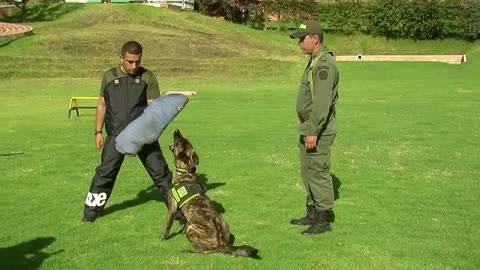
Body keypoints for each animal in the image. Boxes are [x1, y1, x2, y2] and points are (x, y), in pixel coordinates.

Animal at [162, 130, 258, 258]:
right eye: (182, 139)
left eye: (179, 141)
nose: (177, 130)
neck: (185, 172)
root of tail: (222, 245)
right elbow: (184, 223)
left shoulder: (172, 207)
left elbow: (167, 225)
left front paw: (163, 238)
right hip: (224, 223)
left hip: (192, 229)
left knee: (204, 251)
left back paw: (189, 251)